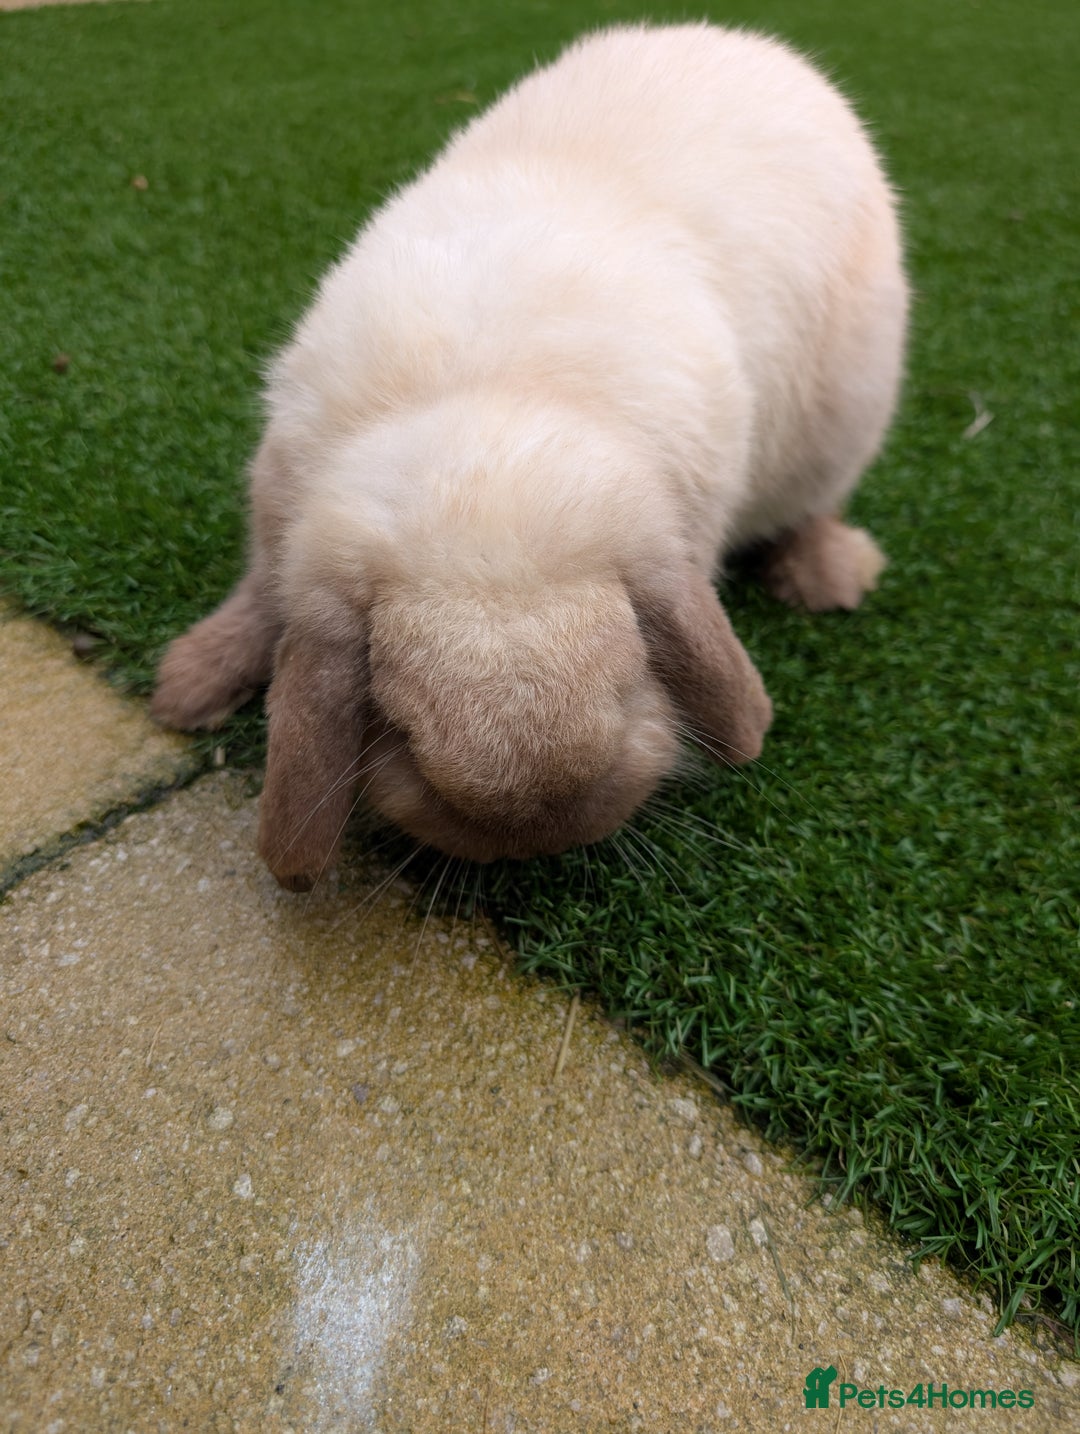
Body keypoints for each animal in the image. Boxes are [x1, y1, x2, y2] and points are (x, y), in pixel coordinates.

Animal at [151, 22, 907, 890]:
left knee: (815, 503)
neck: (484, 421)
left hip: (846, 413)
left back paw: (827, 580)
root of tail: (753, 47)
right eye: (398, 723)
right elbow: (259, 598)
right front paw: (188, 686)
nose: (536, 836)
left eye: (629, 683)